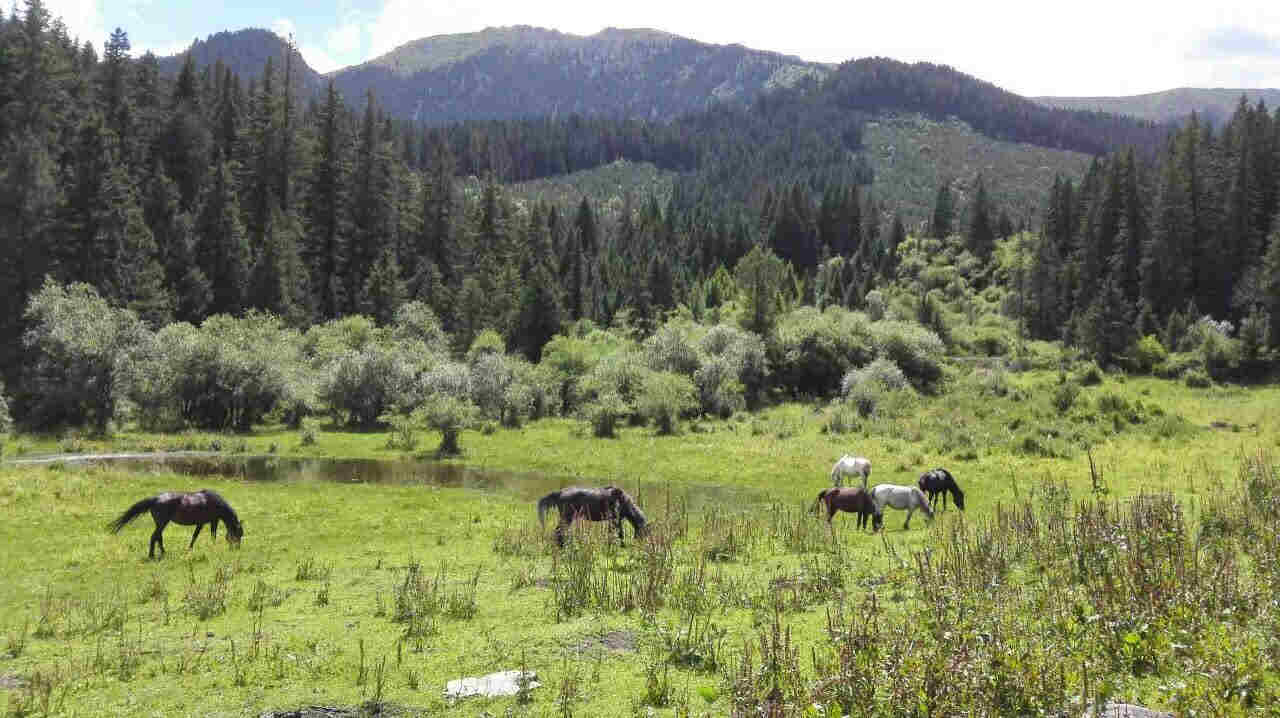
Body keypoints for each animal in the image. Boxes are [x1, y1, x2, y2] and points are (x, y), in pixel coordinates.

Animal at [111, 486, 243, 560]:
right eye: (238, 534)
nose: (237, 549)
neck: (214, 502)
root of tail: (155, 499)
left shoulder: (202, 523)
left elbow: (195, 536)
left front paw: (189, 549)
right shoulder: (211, 521)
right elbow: (211, 535)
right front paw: (212, 546)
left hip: (161, 524)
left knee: (158, 537)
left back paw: (162, 553)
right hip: (162, 523)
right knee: (154, 537)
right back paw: (152, 555)